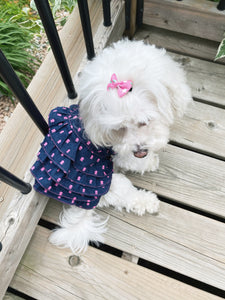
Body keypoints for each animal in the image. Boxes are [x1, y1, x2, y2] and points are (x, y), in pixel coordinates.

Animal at [48, 39, 192, 254]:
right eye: (120, 128)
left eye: (144, 121)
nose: (140, 151)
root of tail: (80, 204)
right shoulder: (120, 151)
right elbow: (131, 160)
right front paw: (149, 161)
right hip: (107, 184)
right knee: (124, 195)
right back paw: (147, 201)